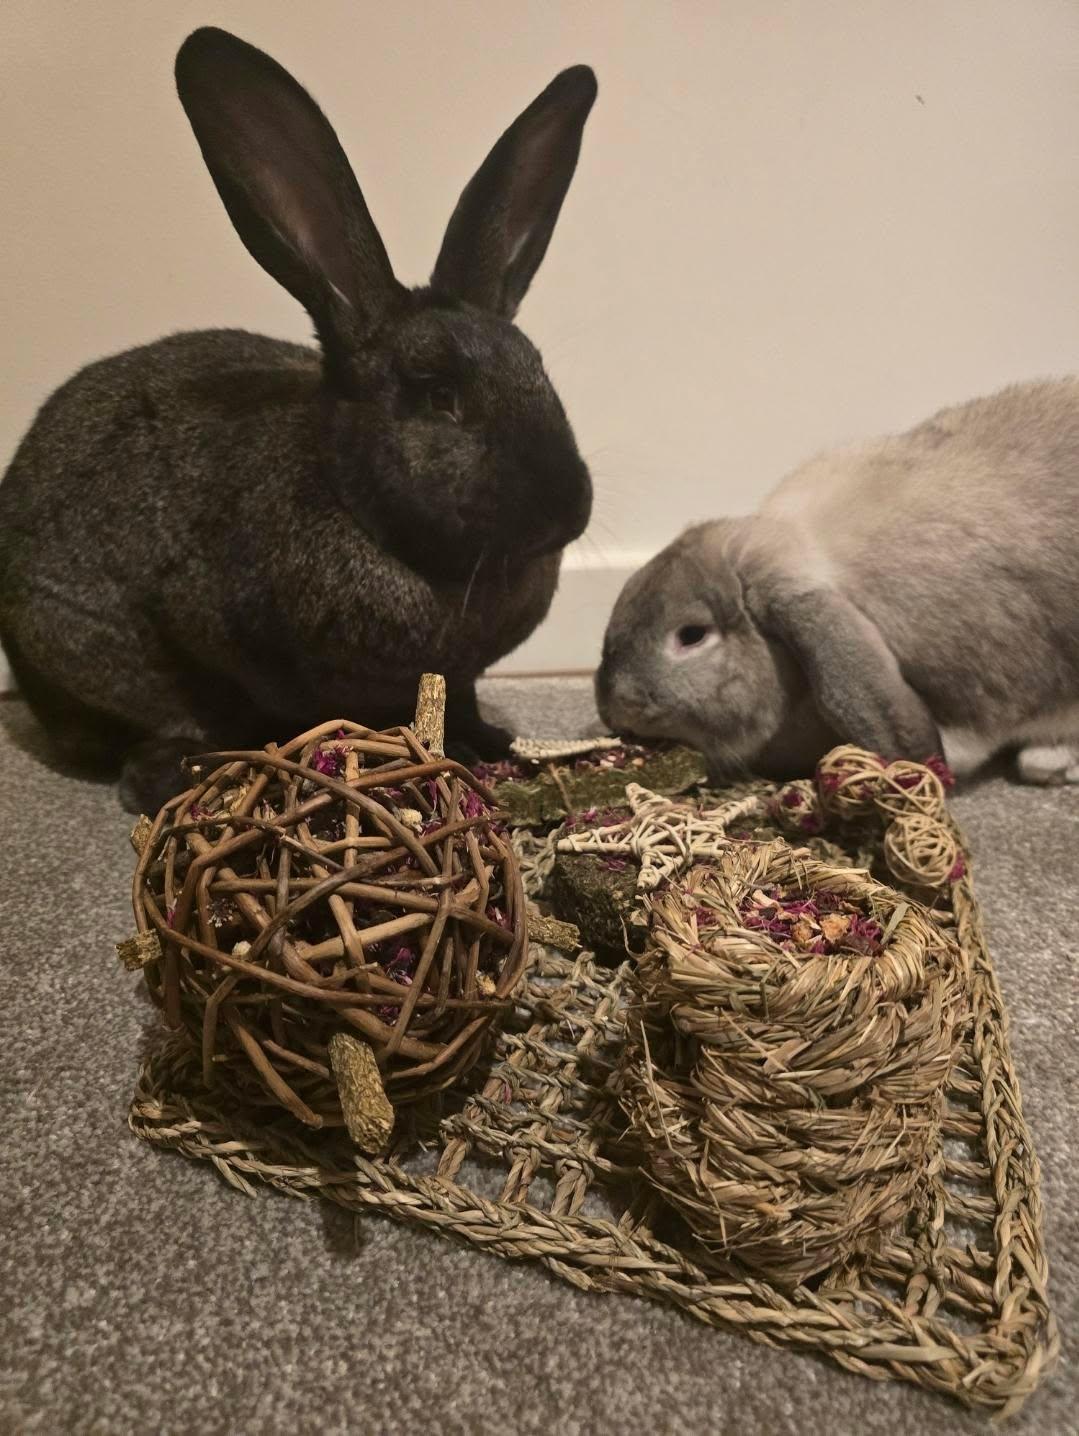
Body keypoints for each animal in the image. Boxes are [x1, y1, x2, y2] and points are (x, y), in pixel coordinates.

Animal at [0, 27, 597, 813]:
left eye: (538, 369)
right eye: (438, 393)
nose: (568, 508)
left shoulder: (458, 675)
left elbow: (460, 699)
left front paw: (489, 743)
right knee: (152, 727)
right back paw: (172, 778)